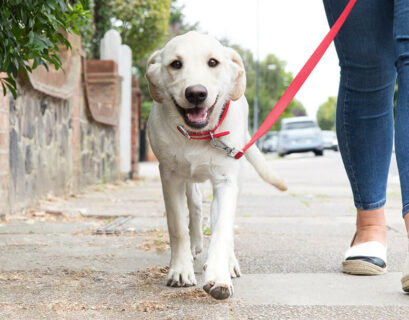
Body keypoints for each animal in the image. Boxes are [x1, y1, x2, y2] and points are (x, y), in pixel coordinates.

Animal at [146, 31, 284, 298]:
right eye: (175, 64)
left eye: (213, 62)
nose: (196, 93)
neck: (198, 136)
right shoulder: (169, 176)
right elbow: (177, 227)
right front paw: (180, 270)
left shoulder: (226, 180)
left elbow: (222, 230)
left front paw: (219, 277)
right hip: (187, 177)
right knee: (196, 203)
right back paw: (196, 244)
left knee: (219, 217)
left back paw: (228, 262)